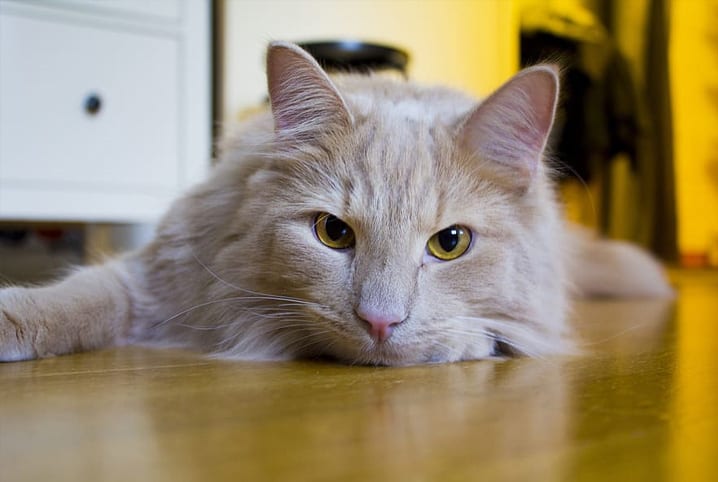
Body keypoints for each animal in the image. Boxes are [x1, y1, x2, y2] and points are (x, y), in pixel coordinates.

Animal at [0, 41, 676, 366]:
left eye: (450, 243)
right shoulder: (157, 278)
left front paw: (460, 343)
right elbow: (77, 300)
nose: (380, 322)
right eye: (332, 233)